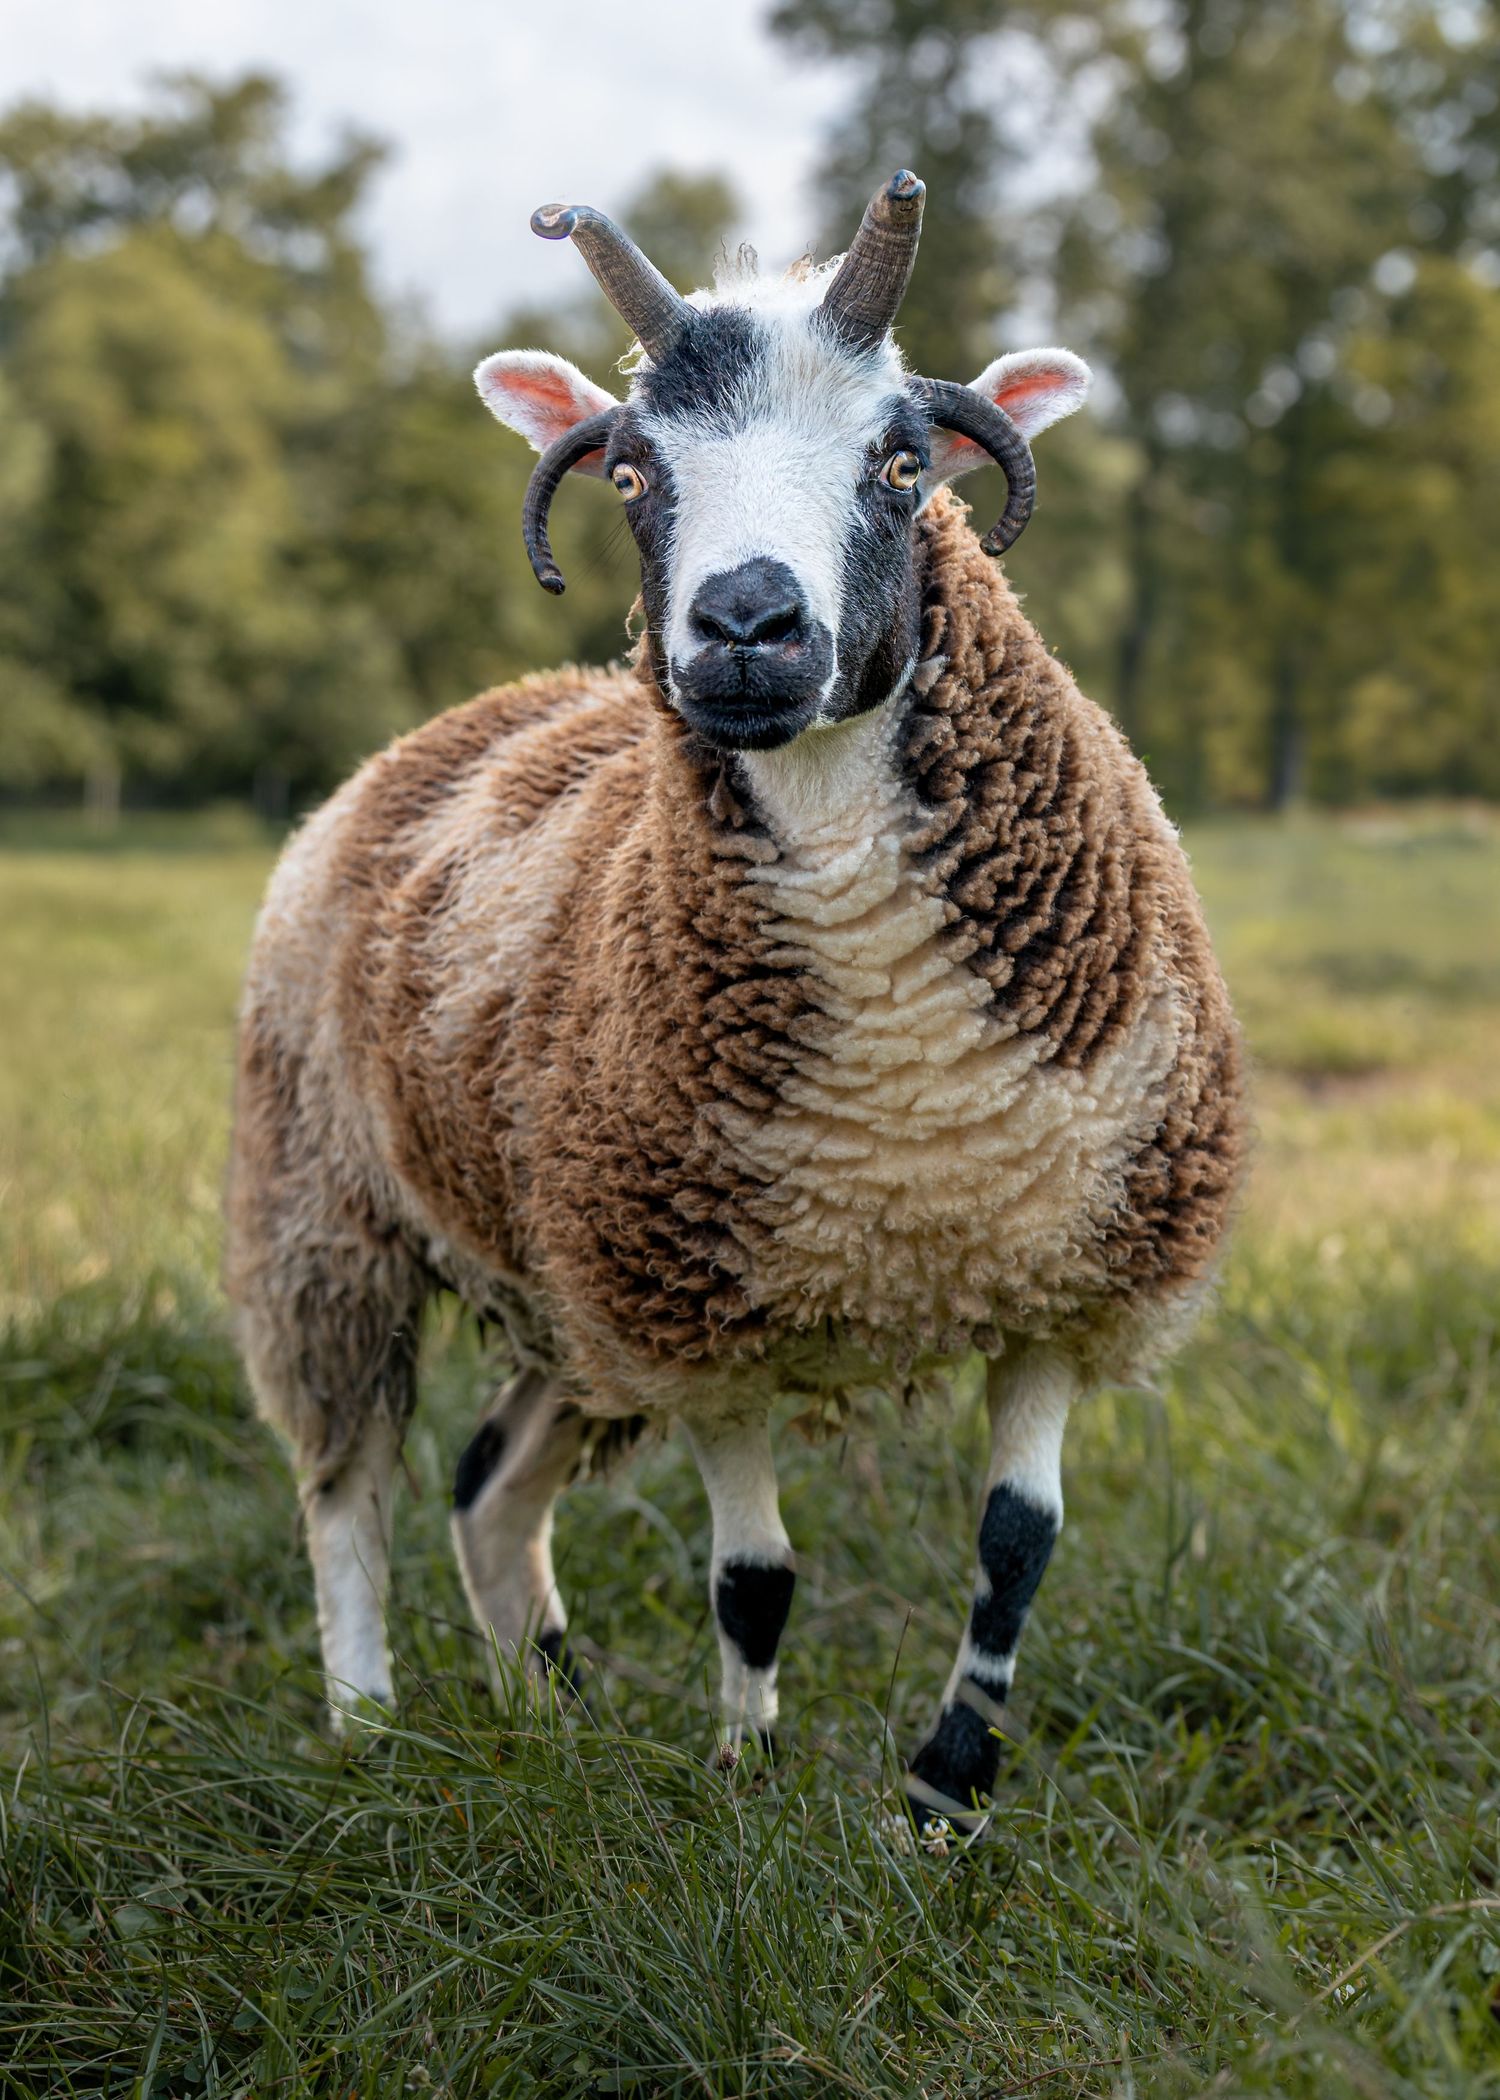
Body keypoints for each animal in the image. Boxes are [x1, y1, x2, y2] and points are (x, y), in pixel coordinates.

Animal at [225, 171, 1245, 1831]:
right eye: (634, 472)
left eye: (903, 462)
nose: (748, 629)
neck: (907, 1110)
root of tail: (478, 712)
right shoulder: (699, 1318)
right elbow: (753, 1576)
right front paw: (749, 1787)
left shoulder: (1065, 1280)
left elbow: (1018, 1549)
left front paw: (944, 1804)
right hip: (327, 1214)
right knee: (347, 1484)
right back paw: (369, 1728)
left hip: (560, 1283)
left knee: (490, 1489)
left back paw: (545, 1714)